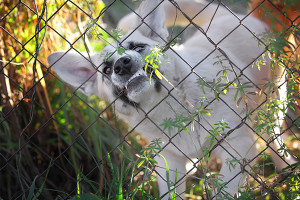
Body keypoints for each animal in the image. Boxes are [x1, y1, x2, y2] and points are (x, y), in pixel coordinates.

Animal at [47, 0, 296, 199]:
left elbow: (226, 189)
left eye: (138, 47)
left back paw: (287, 166)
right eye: (106, 70)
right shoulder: (170, 164)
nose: (122, 65)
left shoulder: (237, 146)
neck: (170, 109)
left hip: (271, 105)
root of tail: (229, 16)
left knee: (274, 139)